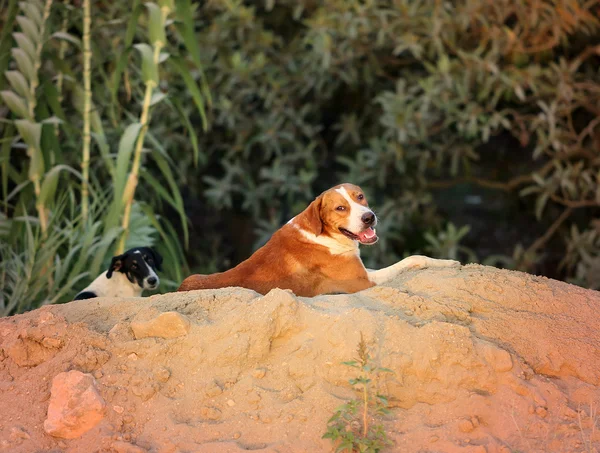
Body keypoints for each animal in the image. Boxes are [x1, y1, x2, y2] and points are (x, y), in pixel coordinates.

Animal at [178, 183, 460, 296]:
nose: (368, 217)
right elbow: (412, 259)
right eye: (340, 208)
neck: (322, 234)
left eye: (360, 197)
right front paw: (447, 263)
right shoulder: (363, 282)